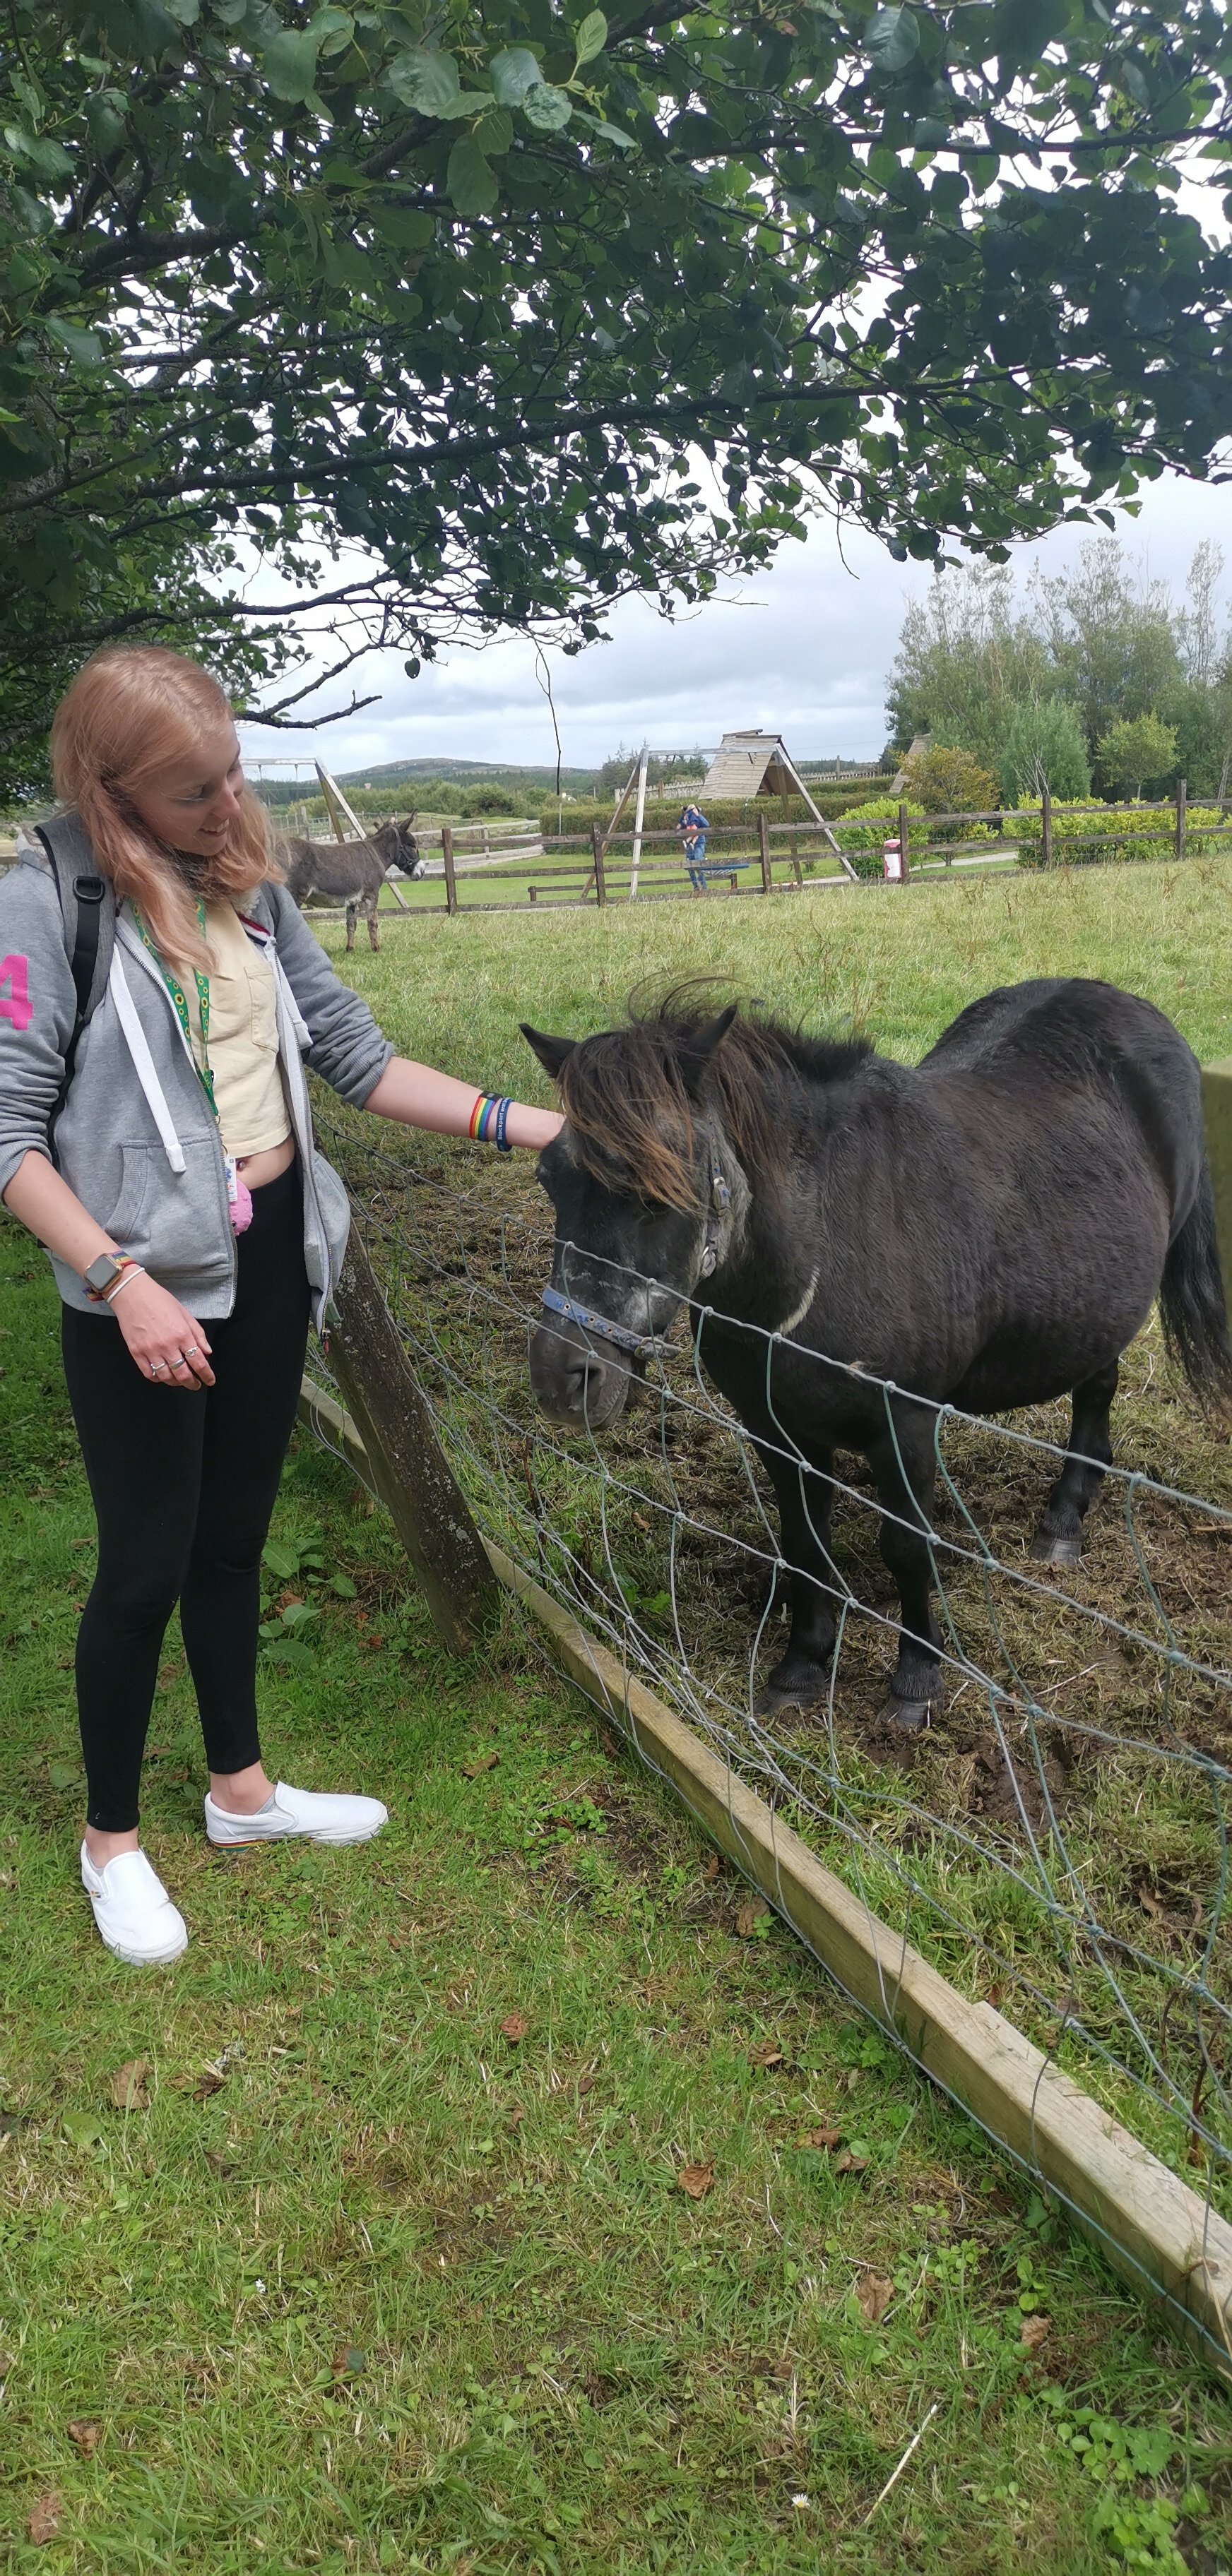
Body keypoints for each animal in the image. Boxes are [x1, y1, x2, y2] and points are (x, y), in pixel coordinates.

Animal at [523, 984, 1232, 1731]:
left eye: (661, 1188)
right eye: (549, 1177)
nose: (560, 1377)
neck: (825, 1247)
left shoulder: (906, 1427)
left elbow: (908, 1550)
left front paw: (917, 1677)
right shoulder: (775, 1429)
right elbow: (804, 1542)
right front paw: (803, 1664)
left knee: (1096, 1389)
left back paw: (1064, 1519)